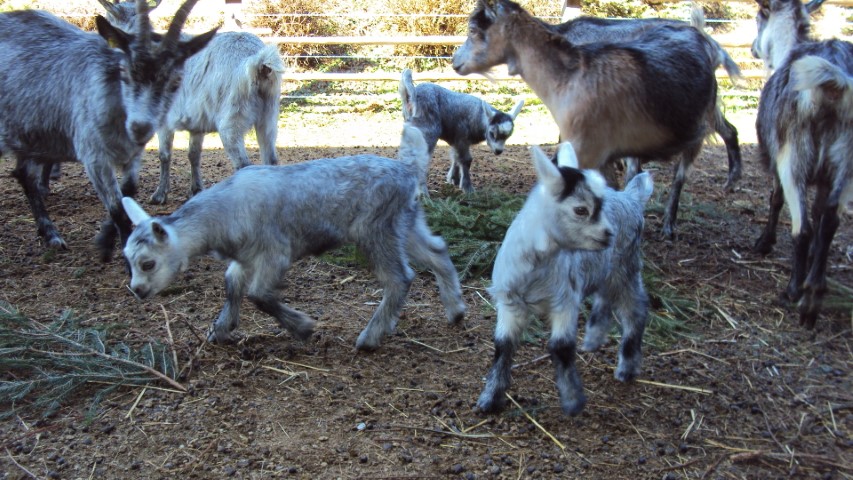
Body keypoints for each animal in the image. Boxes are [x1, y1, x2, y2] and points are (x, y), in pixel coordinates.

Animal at [452, 0, 720, 238]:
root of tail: (698, 34)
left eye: (473, 30)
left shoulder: (588, 149)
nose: (455, 62)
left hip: (700, 128)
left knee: (679, 178)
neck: (570, 79)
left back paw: (668, 226)